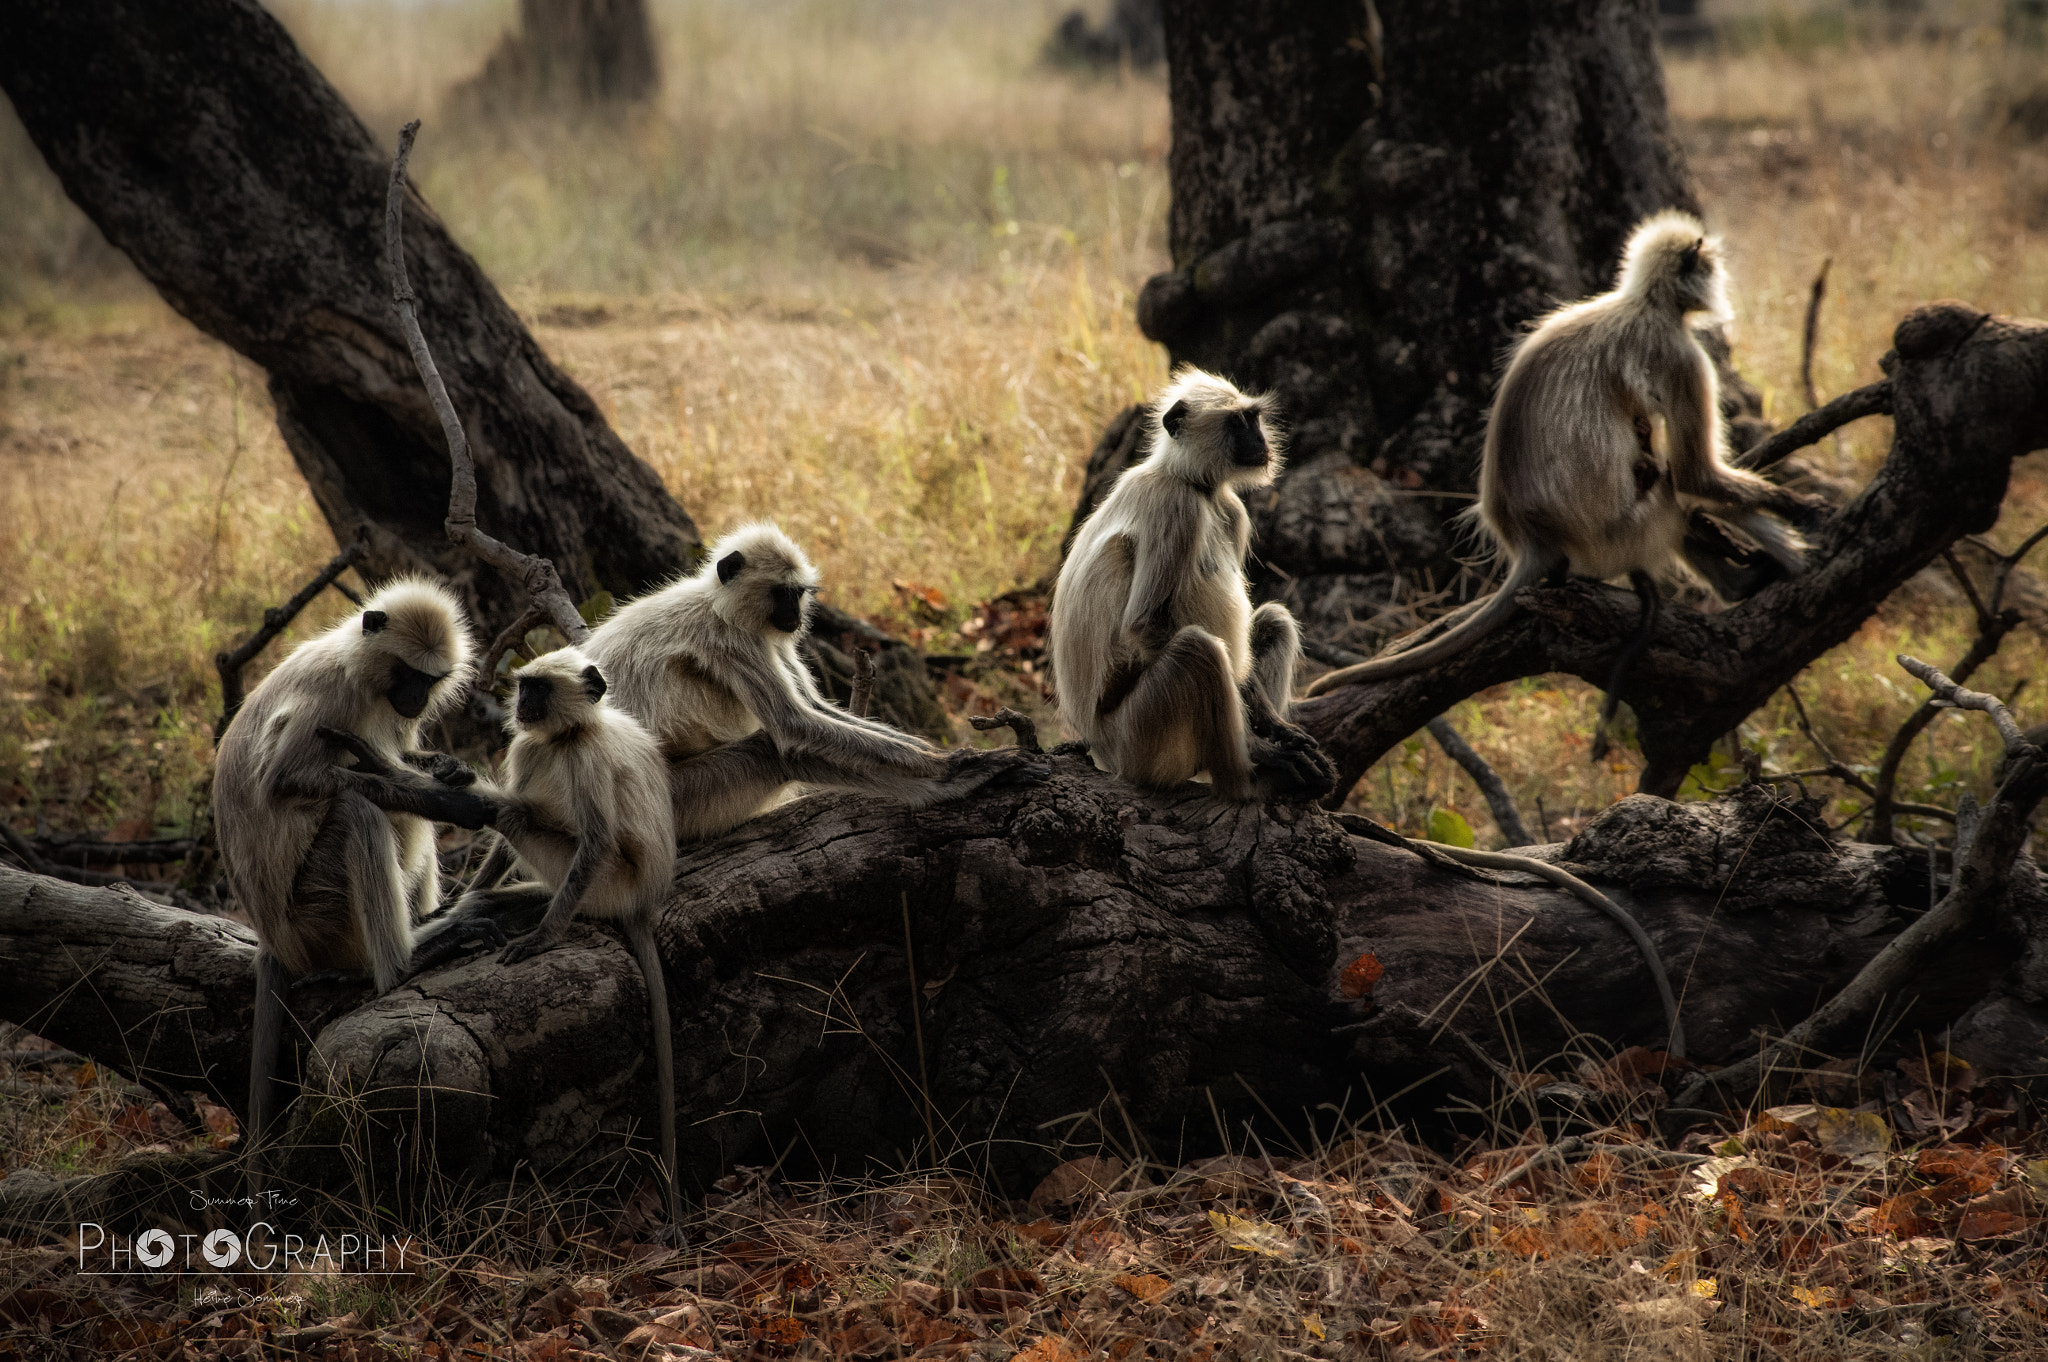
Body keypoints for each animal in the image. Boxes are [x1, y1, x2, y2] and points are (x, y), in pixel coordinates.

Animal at [212, 577, 503, 1196]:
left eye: (430, 681)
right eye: (408, 675)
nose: (414, 700)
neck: (360, 670)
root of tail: (275, 940)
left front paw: (446, 768)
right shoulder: (332, 699)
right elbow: (288, 781)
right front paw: (451, 800)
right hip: (314, 916)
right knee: (357, 810)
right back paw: (403, 961)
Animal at [460, 643, 684, 1228]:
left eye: (537, 689)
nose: (521, 704)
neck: (571, 733)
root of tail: (642, 900)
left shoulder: (582, 758)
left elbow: (596, 842)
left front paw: (544, 938)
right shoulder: (528, 745)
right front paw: (468, 893)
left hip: (608, 886)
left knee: (518, 814)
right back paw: (486, 905)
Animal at [561, 520, 1040, 839]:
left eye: (799, 594)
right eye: (782, 593)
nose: (795, 615)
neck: (717, 603)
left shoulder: (767, 637)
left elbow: (817, 710)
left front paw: (942, 753)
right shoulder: (730, 640)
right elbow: (796, 725)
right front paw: (956, 768)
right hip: (672, 804)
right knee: (774, 751)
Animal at [1048, 366, 1335, 802]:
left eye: (1254, 419)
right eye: (1238, 422)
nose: (1261, 440)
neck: (1191, 482)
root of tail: (1100, 749)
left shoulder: (1232, 511)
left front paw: (1275, 727)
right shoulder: (1176, 507)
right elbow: (1143, 623)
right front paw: (1263, 747)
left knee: (1274, 620)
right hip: (1138, 741)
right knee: (1198, 650)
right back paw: (1251, 774)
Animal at [1302, 210, 1818, 745]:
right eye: (1710, 267)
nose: (1720, 282)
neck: (1642, 304)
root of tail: (1533, 541)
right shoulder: (1680, 355)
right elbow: (1695, 476)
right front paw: (1801, 506)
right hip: (1621, 535)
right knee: (1674, 491)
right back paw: (1756, 575)